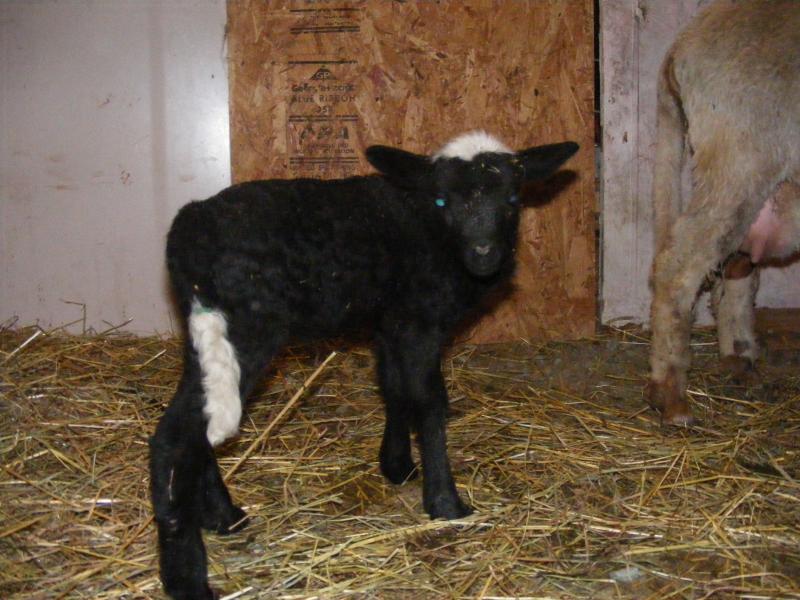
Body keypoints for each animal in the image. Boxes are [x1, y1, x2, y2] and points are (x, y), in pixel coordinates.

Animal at [150, 131, 579, 599]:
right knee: (175, 436)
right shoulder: (419, 321)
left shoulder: (391, 322)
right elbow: (430, 403)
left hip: (208, 336)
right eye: (443, 200)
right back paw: (188, 578)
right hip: (247, 328)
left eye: (513, 198)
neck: (431, 230)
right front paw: (445, 502)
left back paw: (223, 517)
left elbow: (394, 389)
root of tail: (189, 227)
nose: (484, 253)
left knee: (196, 421)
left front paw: (397, 466)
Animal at [648, 0, 800, 425]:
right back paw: (671, 397)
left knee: (734, 265)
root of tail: (683, 45)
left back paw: (739, 358)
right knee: (679, 265)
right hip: (738, 160)